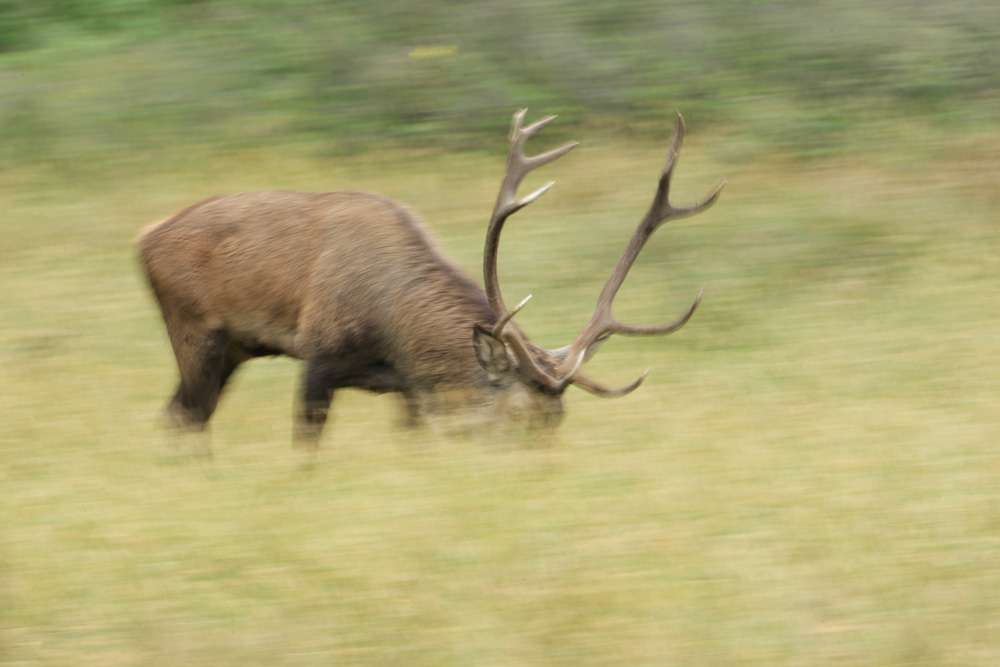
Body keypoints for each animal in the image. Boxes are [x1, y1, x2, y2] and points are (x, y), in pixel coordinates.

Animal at [137, 110, 724, 452]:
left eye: (559, 422)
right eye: (518, 417)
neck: (394, 333)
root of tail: (144, 238)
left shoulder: (408, 389)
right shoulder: (319, 356)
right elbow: (306, 446)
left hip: (234, 348)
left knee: (176, 414)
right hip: (194, 329)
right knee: (190, 417)